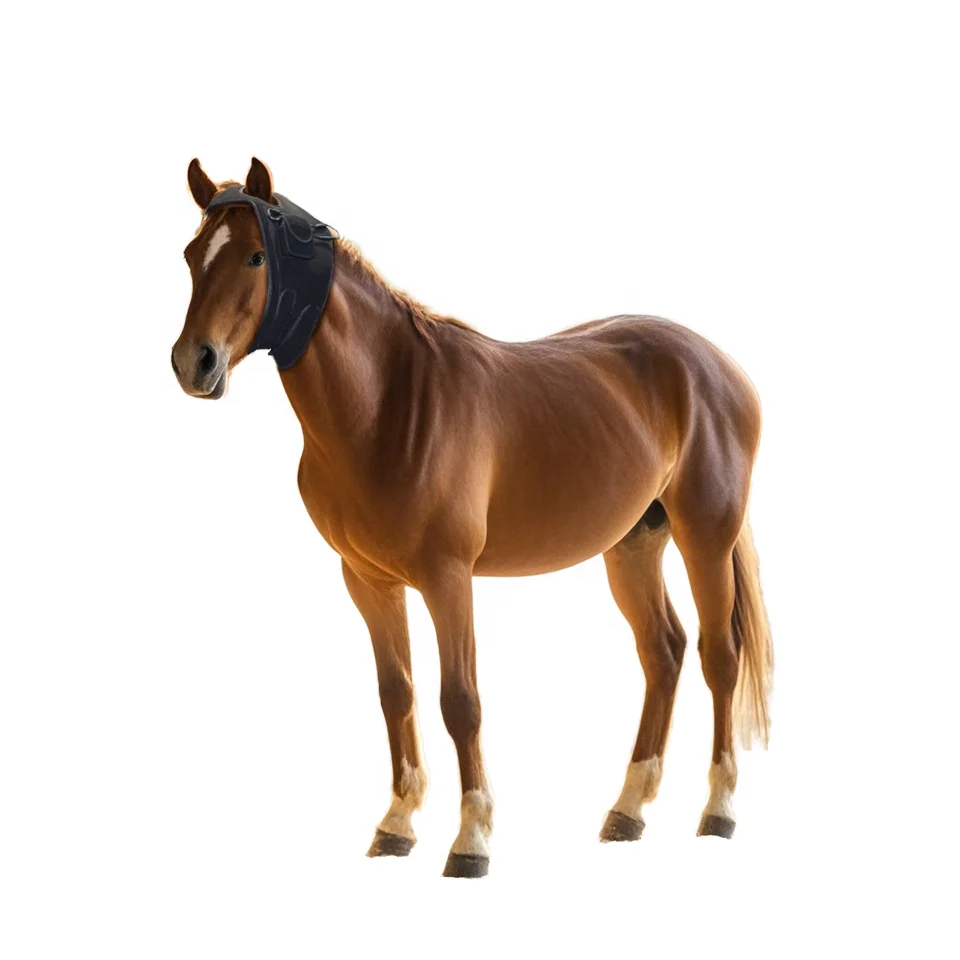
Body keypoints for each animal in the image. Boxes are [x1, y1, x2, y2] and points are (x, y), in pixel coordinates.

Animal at [172, 157, 773, 878]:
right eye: (190, 258)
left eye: (257, 256)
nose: (193, 362)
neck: (389, 403)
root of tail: (719, 364)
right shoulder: (368, 582)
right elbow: (396, 693)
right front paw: (397, 825)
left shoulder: (447, 579)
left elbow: (460, 701)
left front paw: (471, 841)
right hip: (633, 545)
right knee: (664, 651)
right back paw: (627, 811)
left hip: (704, 537)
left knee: (719, 656)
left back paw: (719, 810)